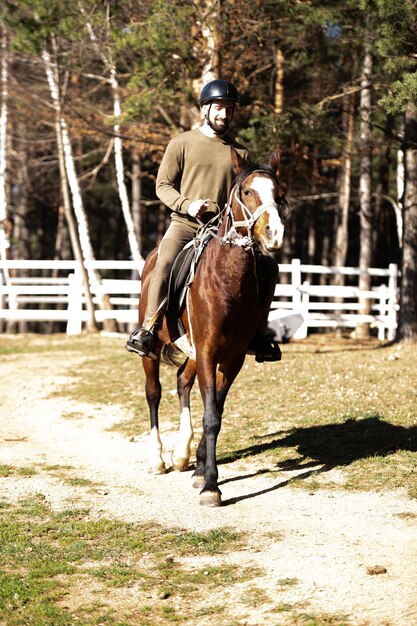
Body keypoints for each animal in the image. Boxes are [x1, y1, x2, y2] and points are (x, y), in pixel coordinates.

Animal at [138, 149, 284, 504]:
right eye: (247, 191)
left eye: (279, 192)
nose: (274, 233)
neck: (227, 282)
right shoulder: (207, 352)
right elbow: (211, 415)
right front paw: (211, 486)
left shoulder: (232, 358)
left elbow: (215, 409)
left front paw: (201, 471)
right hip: (152, 350)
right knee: (153, 392)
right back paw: (158, 458)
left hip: (192, 352)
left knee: (182, 382)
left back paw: (181, 454)